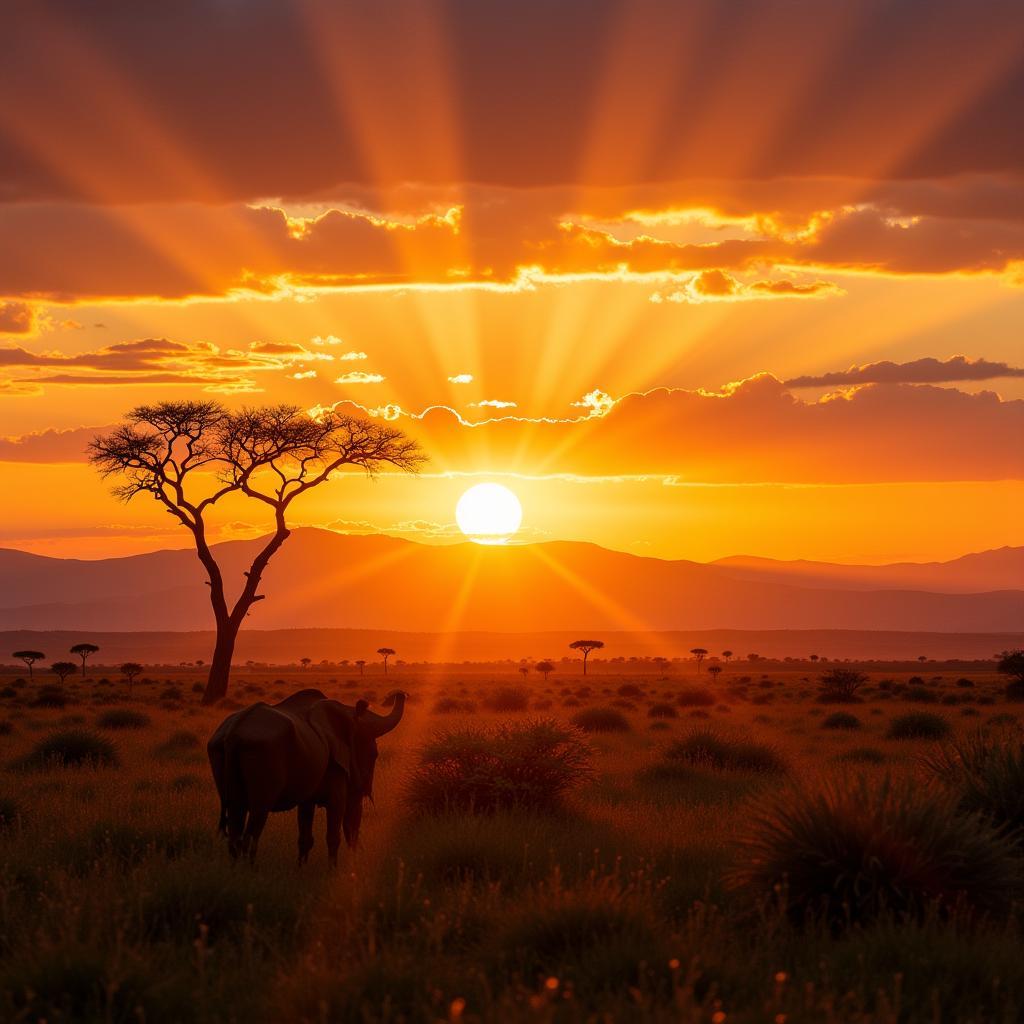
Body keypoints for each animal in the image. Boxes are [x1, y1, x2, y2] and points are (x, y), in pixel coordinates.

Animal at [205, 688, 405, 864]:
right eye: (374, 754)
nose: (400, 694)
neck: (346, 711)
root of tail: (233, 734)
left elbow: (305, 831)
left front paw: (301, 869)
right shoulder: (335, 769)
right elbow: (334, 825)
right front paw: (332, 871)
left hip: (219, 754)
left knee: (236, 819)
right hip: (262, 758)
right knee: (255, 820)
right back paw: (250, 872)